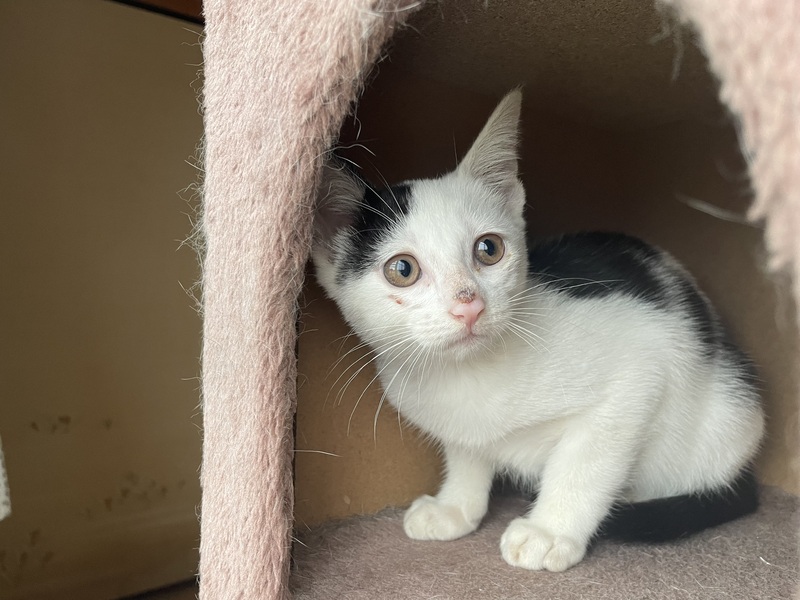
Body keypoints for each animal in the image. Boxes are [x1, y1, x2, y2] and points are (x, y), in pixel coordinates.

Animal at [311, 90, 765, 572]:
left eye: (488, 249)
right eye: (402, 270)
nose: (468, 304)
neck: (470, 374)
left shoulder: (639, 370)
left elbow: (585, 460)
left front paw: (549, 530)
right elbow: (467, 452)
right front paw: (456, 506)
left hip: (729, 411)